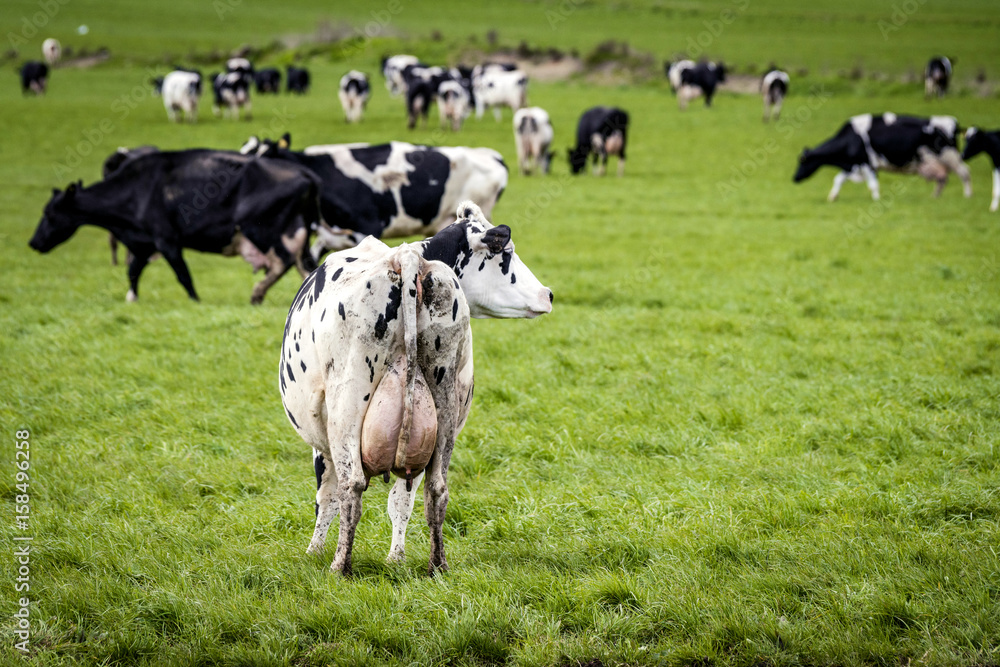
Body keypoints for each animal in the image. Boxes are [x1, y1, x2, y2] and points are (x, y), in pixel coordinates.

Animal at [29, 150, 324, 304]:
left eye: (48, 213)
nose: (33, 242)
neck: (135, 191)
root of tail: (305, 173)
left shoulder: (166, 240)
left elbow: (183, 275)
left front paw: (196, 301)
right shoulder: (144, 243)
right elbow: (133, 271)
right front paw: (132, 298)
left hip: (264, 230)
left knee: (283, 261)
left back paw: (257, 293)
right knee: (304, 265)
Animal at [279, 201, 553, 575]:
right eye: (506, 254)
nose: (548, 294)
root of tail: (408, 260)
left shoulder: (322, 441)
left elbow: (327, 496)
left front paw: (314, 552)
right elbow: (401, 499)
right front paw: (396, 557)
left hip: (346, 408)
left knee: (351, 486)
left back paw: (339, 566)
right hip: (443, 412)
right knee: (435, 489)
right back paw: (436, 564)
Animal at [794, 113, 972, 201]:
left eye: (802, 161)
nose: (794, 178)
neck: (851, 138)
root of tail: (952, 122)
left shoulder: (868, 163)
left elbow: (873, 185)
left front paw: (876, 199)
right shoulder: (854, 163)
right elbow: (838, 179)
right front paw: (832, 197)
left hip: (951, 156)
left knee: (965, 173)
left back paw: (968, 195)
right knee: (943, 179)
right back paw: (935, 197)